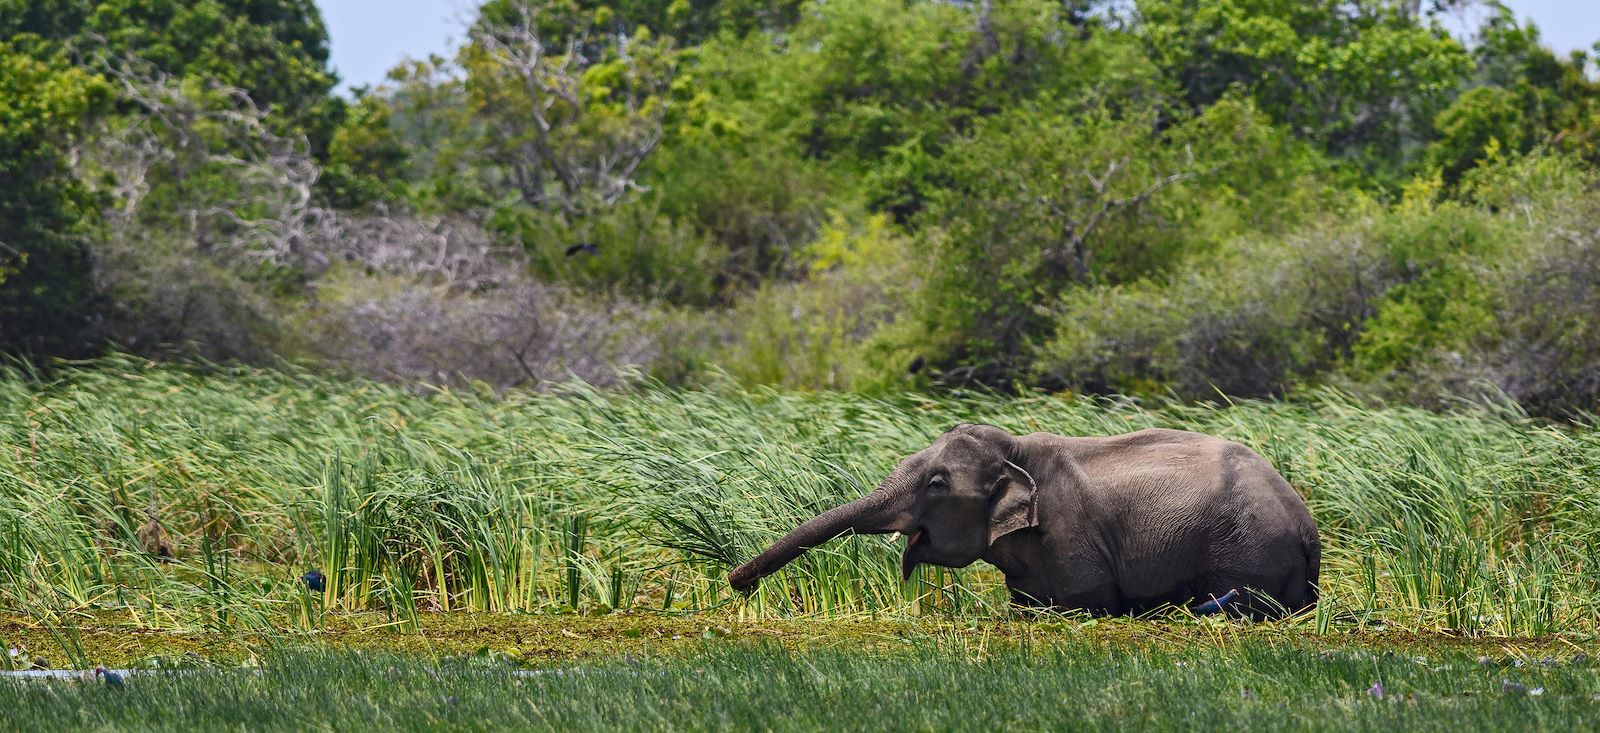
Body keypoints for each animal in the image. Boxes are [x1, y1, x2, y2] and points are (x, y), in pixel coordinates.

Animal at [732, 422, 1318, 617]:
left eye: (936, 484)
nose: (737, 583)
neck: (1017, 448)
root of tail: (1308, 528)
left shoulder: (1070, 533)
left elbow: (1088, 601)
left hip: (1245, 550)